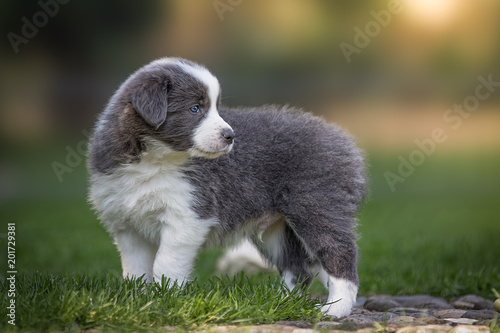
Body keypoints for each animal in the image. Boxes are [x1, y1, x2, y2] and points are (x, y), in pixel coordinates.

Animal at [88, 57, 366, 316]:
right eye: (195, 108)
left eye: (215, 108)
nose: (230, 135)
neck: (153, 158)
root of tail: (343, 139)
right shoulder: (127, 225)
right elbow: (135, 268)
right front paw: (138, 300)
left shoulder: (188, 215)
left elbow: (166, 262)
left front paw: (167, 297)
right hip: (278, 229)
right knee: (298, 268)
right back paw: (280, 302)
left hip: (317, 204)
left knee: (339, 254)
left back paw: (335, 309)